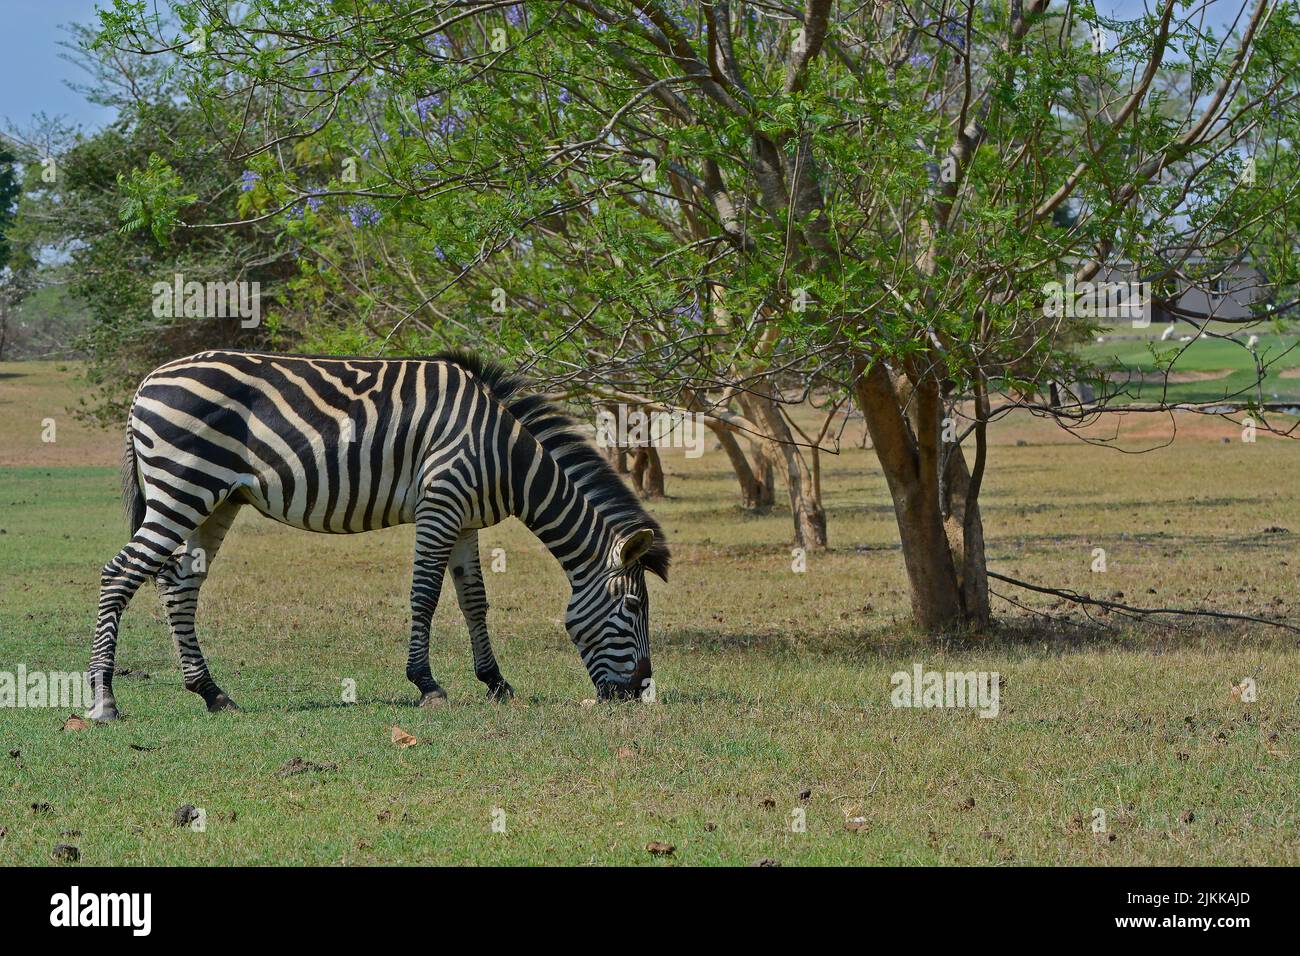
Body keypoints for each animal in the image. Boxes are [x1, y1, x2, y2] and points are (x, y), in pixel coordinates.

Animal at [89, 348, 670, 717]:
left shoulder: (464, 519)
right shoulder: (441, 500)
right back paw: (103, 700)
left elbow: (474, 602)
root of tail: (147, 382)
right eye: (633, 608)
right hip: (183, 487)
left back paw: (211, 693)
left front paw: (496, 683)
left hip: (215, 499)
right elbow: (426, 595)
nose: (639, 691)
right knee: (120, 574)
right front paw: (427, 684)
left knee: (179, 586)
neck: (505, 455)